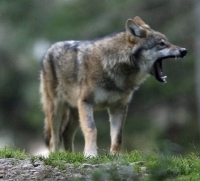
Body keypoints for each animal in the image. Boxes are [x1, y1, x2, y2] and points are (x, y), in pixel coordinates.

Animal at [40, 16, 188, 156]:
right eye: (161, 44)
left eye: (167, 42)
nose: (184, 50)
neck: (114, 66)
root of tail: (49, 50)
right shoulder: (86, 102)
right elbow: (92, 129)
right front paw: (90, 154)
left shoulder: (119, 107)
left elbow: (118, 137)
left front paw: (115, 156)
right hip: (56, 110)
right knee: (54, 138)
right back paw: (56, 155)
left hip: (75, 113)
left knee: (66, 133)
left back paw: (71, 155)